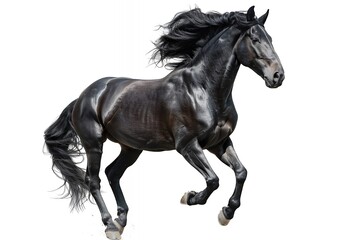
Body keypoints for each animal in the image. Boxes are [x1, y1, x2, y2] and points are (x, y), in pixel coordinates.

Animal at [43, 6, 284, 239]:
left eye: (271, 38)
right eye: (255, 39)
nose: (278, 76)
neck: (203, 89)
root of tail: (81, 98)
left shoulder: (219, 143)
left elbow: (241, 172)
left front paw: (226, 212)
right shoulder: (187, 146)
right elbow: (213, 180)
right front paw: (190, 197)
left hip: (131, 148)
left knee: (113, 173)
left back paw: (121, 220)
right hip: (94, 144)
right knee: (93, 180)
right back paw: (110, 225)